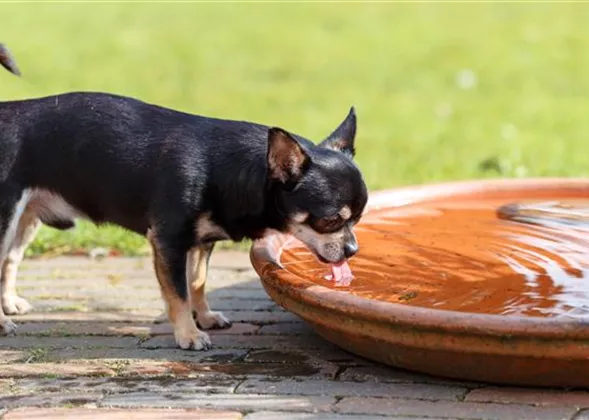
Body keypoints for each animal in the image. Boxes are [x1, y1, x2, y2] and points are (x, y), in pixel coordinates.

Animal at [0, 43, 366, 352]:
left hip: (25, 222)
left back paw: (8, 304)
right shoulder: (168, 242)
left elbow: (198, 282)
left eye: (358, 219)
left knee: (9, 260)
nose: (353, 249)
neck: (228, 169)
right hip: (7, 218)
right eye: (329, 220)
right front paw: (188, 334)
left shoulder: (201, 243)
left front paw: (204, 316)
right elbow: (178, 292)